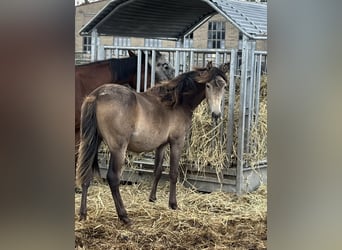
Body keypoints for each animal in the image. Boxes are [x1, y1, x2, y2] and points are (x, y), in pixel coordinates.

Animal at [76, 61, 228, 224]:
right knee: (113, 178)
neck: (175, 102)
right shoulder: (177, 141)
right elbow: (173, 173)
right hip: (118, 149)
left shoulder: (161, 145)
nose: (216, 114)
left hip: (92, 142)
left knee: (86, 174)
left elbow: (158, 170)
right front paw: (173, 204)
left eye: (224, 86)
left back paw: (83, 214)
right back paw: (124, 216)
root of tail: (97, 95)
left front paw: (152, 198)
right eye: (208, 85)